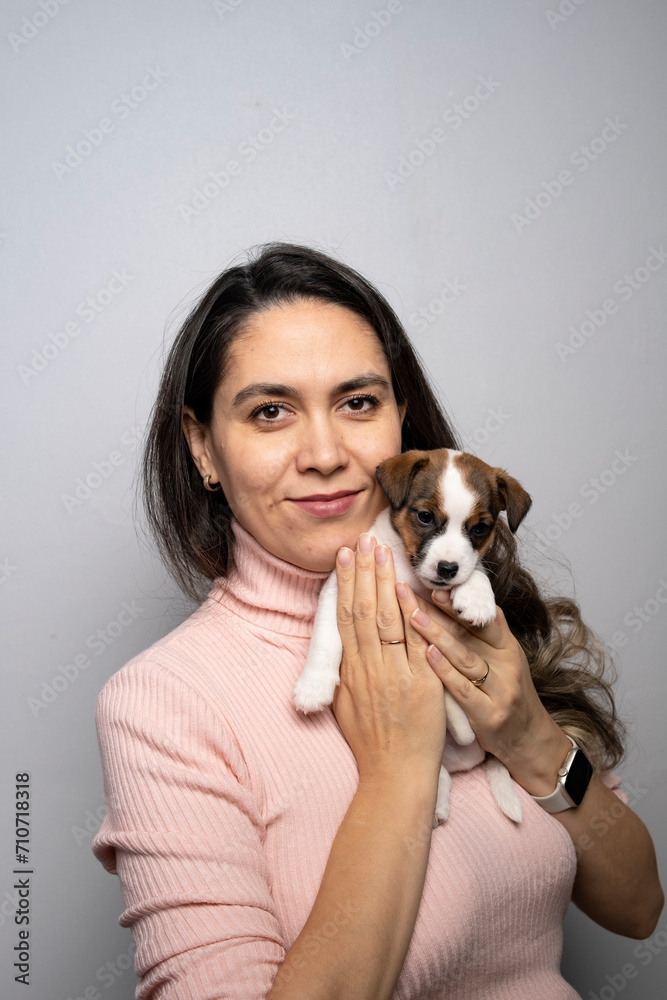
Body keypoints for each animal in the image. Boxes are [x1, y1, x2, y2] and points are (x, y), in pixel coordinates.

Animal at [294, 450, 536, 824]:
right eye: (425, 516)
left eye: (479, 528)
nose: (447, 569)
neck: (410, 574)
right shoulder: (338, 588)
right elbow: (325, 640)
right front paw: (314, 686)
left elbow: (477, 567)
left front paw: (477, 597)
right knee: (440, 771)